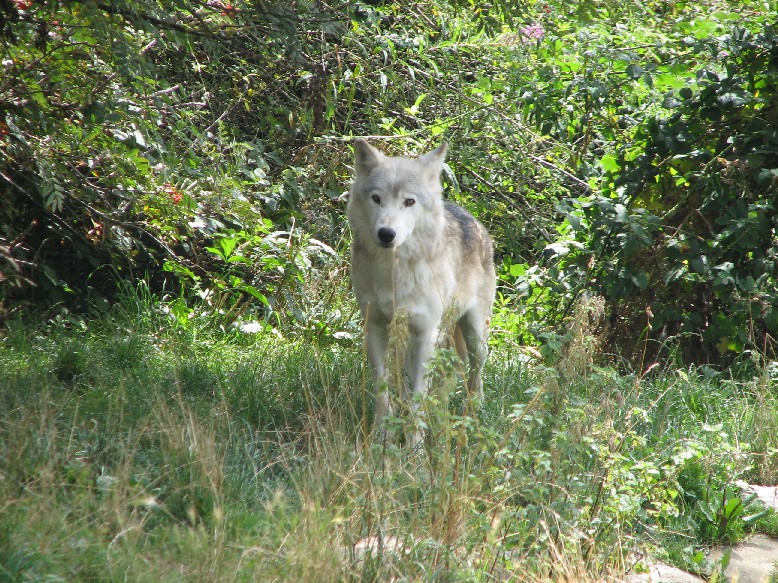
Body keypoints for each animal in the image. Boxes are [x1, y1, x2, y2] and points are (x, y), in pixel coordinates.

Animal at [347, 139, 496, 445]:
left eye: (409, 202)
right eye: (376, 198)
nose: (386, 234)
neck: (394, 275)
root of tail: (472, 218)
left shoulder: (426, 333)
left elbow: (418, 398)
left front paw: (414, 449)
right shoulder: (375, 326)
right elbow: (383, 390)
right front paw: (382, 438)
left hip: (475, 334)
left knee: (475, 374)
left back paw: (473, 416)